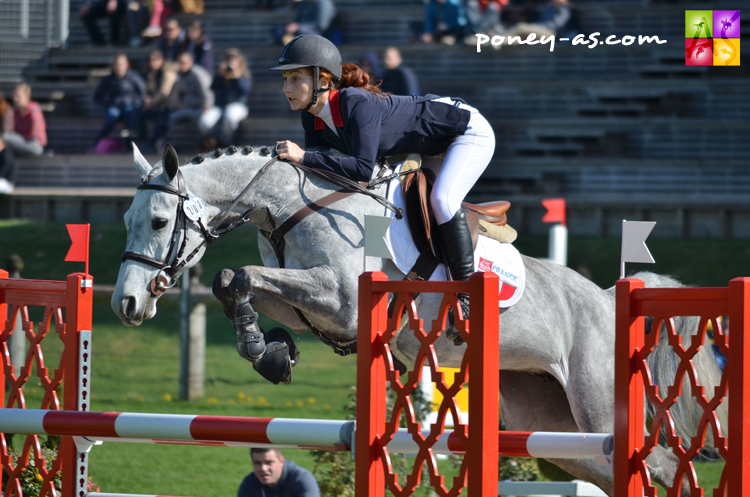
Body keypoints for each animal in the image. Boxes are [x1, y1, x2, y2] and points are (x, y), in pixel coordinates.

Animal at [114, 144, 732, 496]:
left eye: (160, 220)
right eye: (126, 220)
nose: (127, 304)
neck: (296, 205)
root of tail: (608, 298)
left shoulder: (342, 300)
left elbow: (238, 275)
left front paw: (265, 352)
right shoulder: (308, 304)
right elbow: (233, 281)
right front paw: (271, 352)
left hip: (598, 408)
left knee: (654, 462)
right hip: (554, 426)